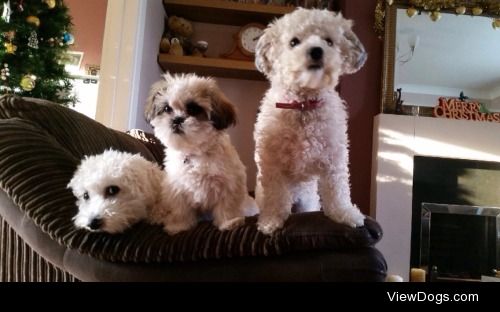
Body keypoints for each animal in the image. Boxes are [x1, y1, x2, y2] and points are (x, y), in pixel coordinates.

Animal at [144, 72, 254, 234]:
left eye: (194, 109)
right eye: (167, 109)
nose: (177, 119)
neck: (195, 153)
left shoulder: (229, 184)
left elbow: (227, 206)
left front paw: (229, 222)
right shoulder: (177, 189)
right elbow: (180, 209)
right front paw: (178, 226)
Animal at [254, 7, 368, 234]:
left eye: (329, 41)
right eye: (293, 42)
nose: (316, 50)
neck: (303, 105)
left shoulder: (334, 160)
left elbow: (338, 190)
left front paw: (345, 214)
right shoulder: (272, 166)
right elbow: (275, 197)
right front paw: (271, 220)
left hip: (309, 201)